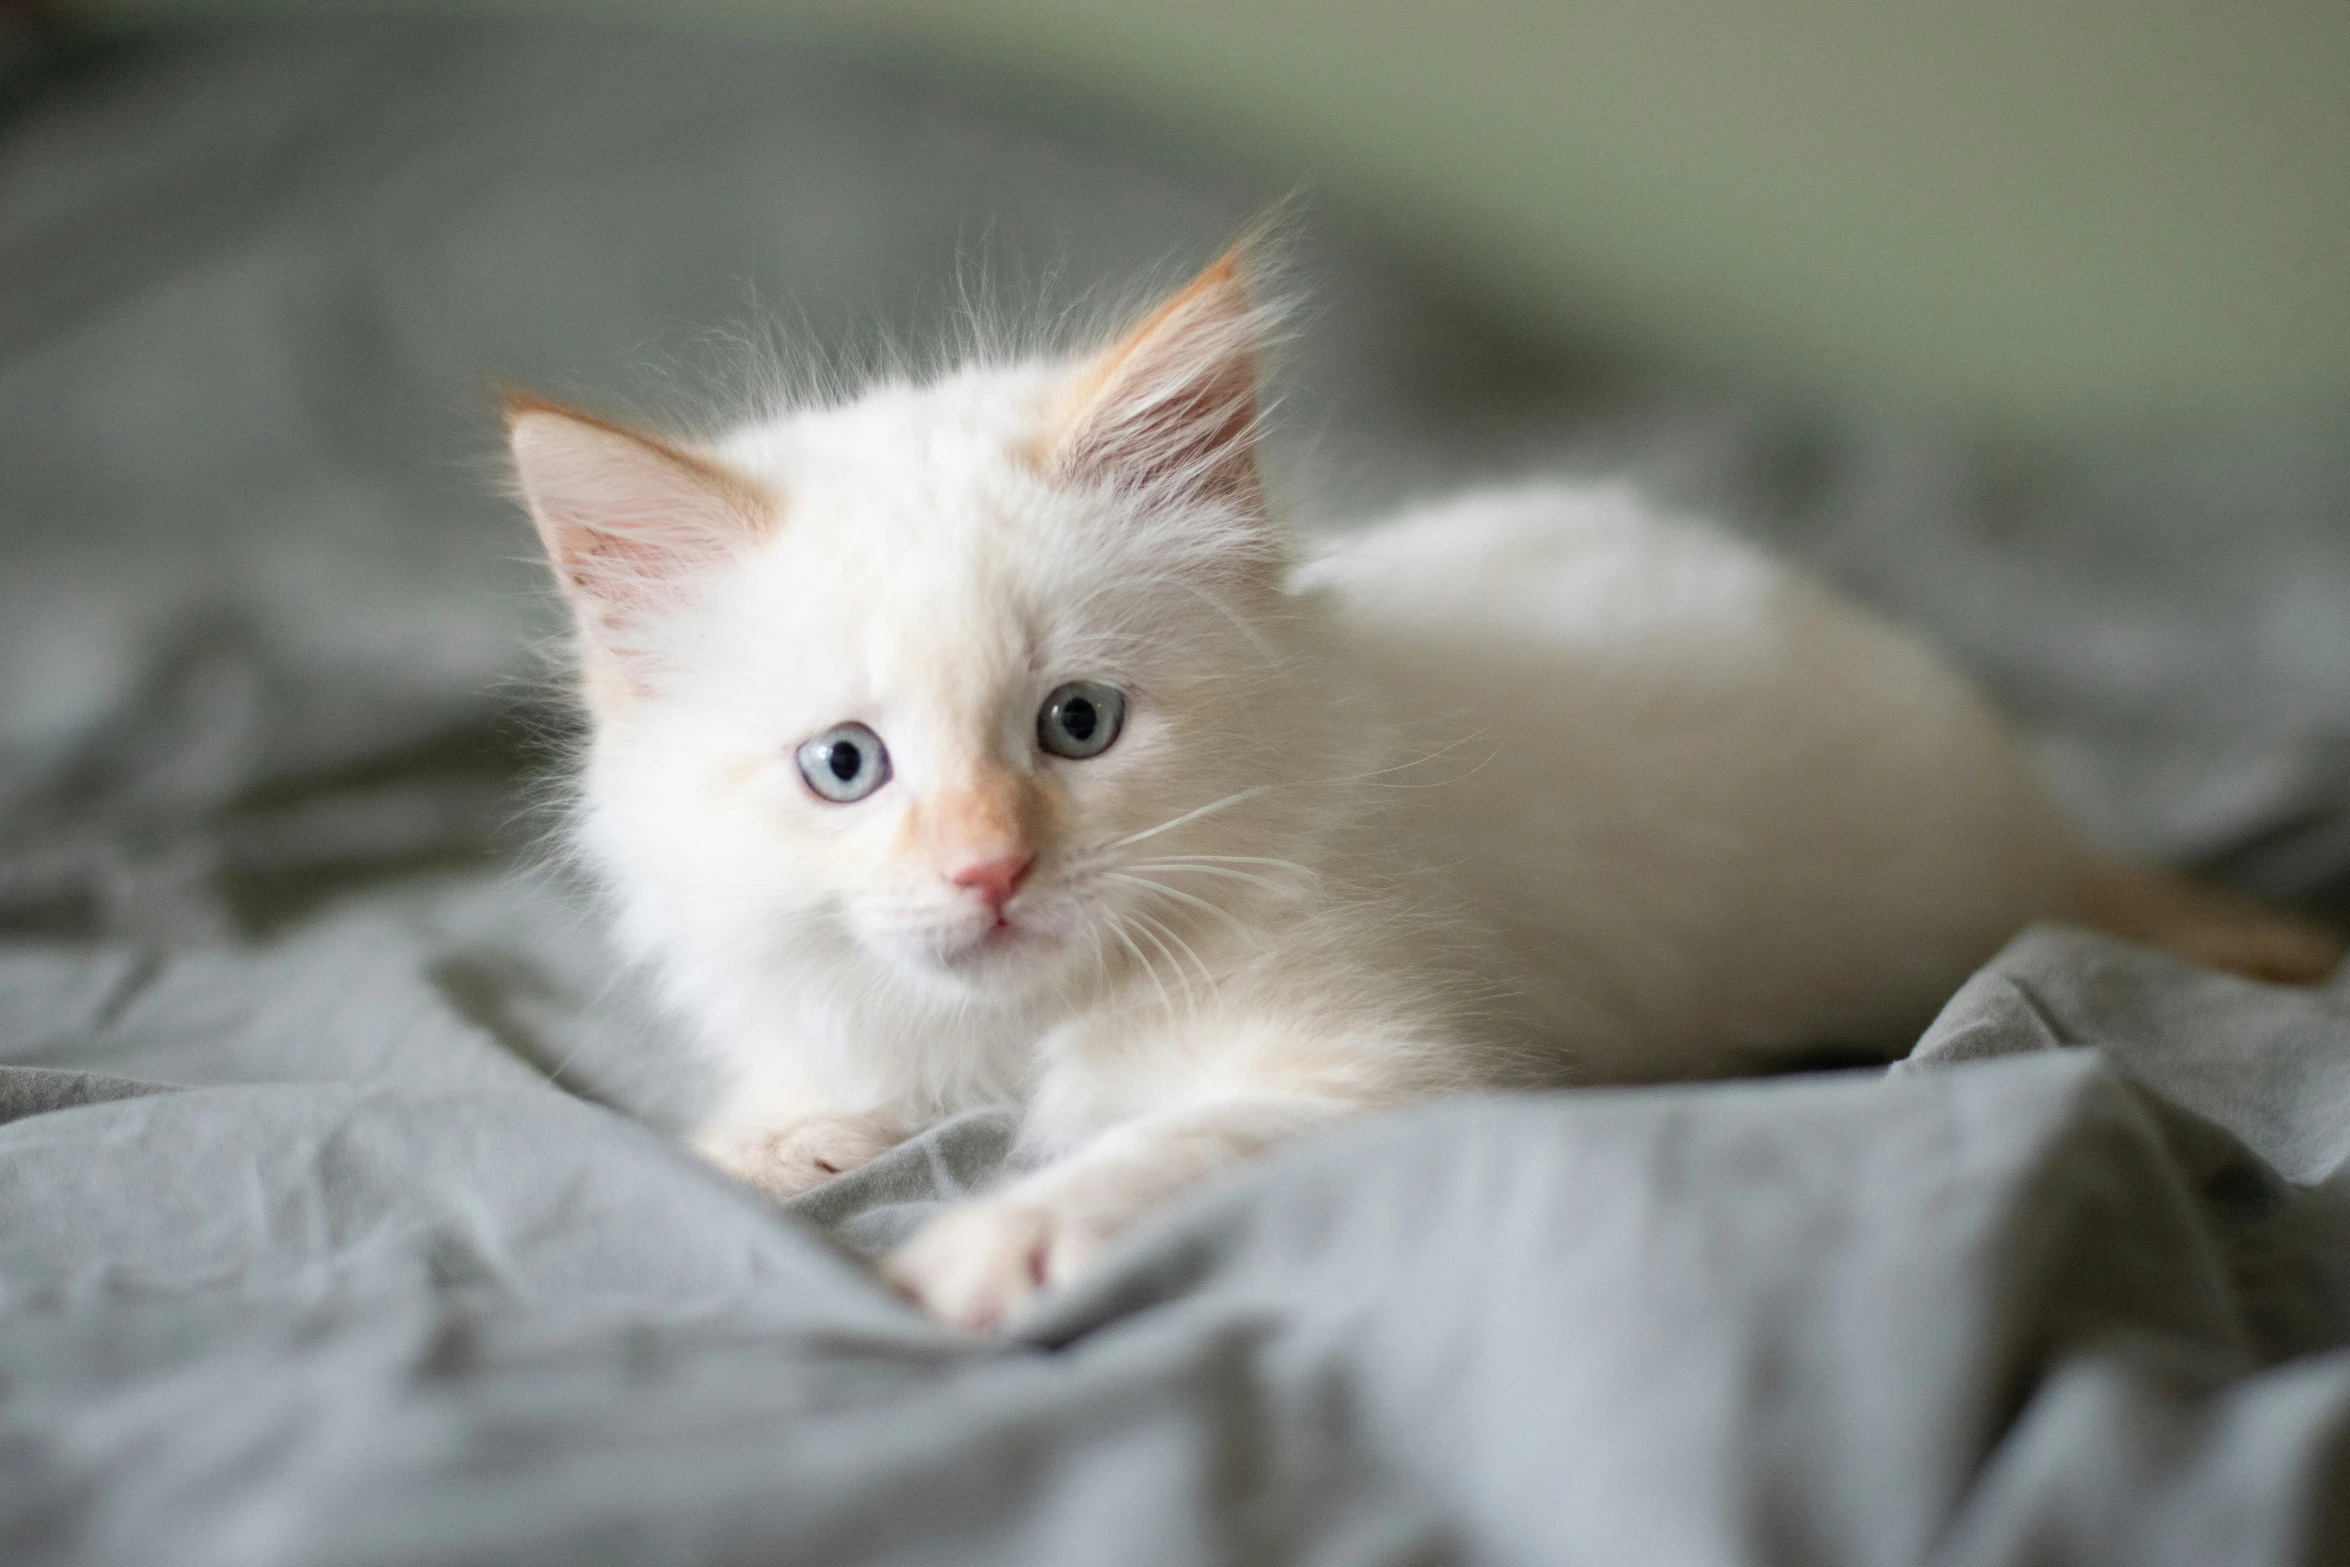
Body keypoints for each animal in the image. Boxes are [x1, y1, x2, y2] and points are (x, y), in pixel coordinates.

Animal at [509, 251, 2331, 1334]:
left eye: (1078, 725)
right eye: (846, 765)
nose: (986, 875)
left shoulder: (1395, 1065)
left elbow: (1165, 1139)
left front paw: (991, 1242)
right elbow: (803, 1088)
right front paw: (775, 1140)